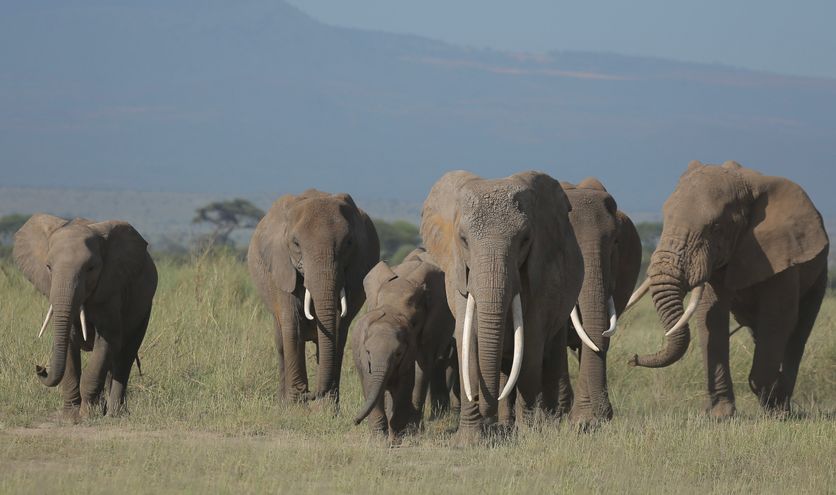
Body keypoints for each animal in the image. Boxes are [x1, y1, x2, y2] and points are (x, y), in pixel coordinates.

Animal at [13, 215, 158, 420]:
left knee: (124, 357)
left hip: (144, 308)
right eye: (48, 267)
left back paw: (114, 413)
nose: (40, 368)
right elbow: (68, 345)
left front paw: (86, 415)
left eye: (90, 268)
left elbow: (106, 342)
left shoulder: (110, 291)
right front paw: (70, 416)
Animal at [247, 190, 380, 406]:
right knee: (281, 342)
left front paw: (325, 408)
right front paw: (295, 404)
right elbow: (292, 326)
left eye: (349, 243)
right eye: (296, 244)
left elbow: (337, 330)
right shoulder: (282, 267)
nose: (309, 394)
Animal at [352, 248, 458, 442]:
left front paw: (409, 430)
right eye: (378, 307)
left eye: (414, 322)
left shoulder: (431, 327)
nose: (355, 421)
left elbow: (419, 370)